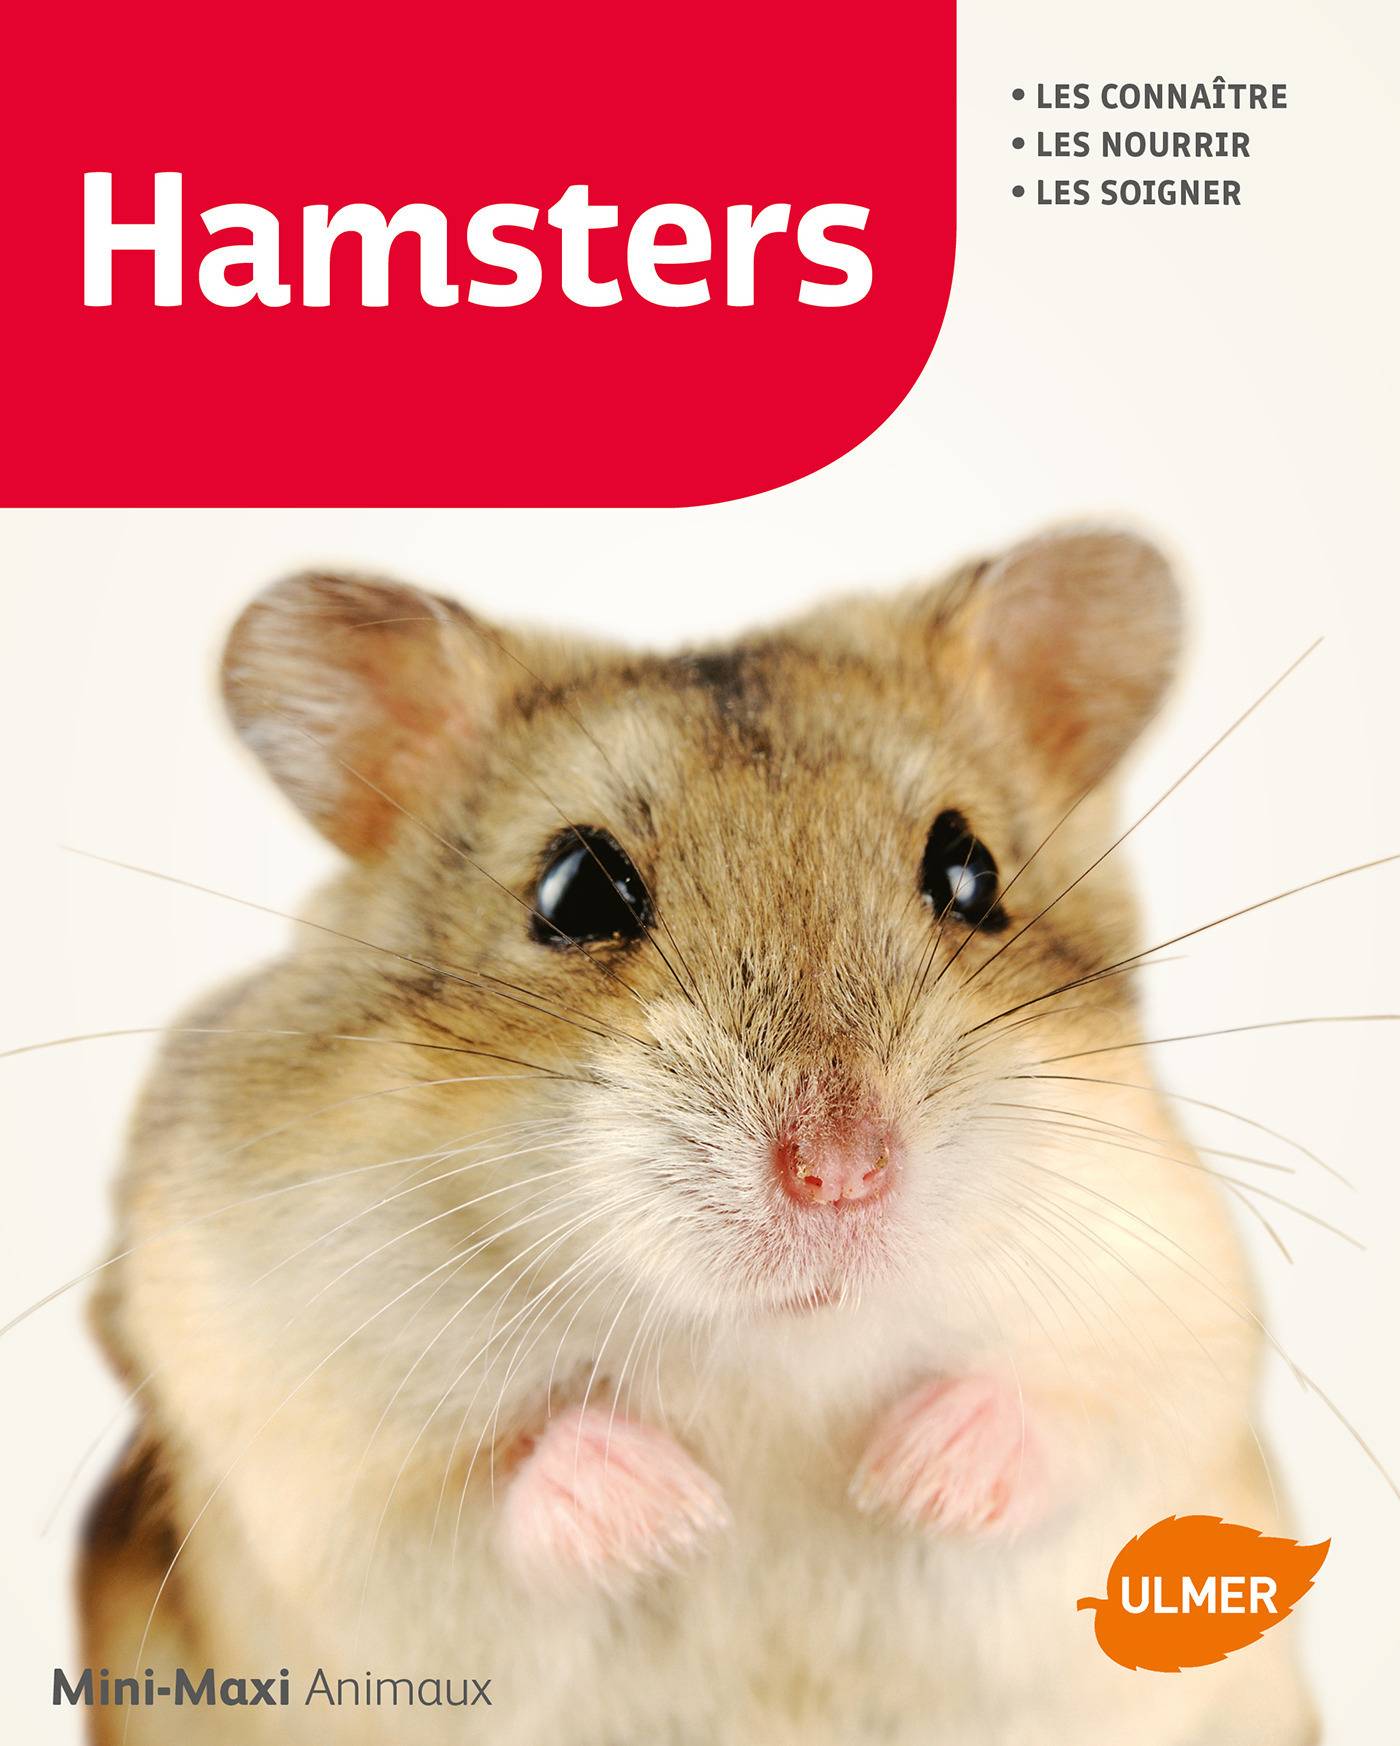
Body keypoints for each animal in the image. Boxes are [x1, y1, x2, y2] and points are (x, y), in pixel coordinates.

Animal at [79, 530, 1317, 1745]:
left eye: (969, 873)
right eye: (573, 891)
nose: (839, 1174)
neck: (771, 1356)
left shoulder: (1177, 1333)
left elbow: (1079, 1422)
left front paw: (905, 1477)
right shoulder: (294, 1438)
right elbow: (481, 1488)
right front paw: (680, 1513)